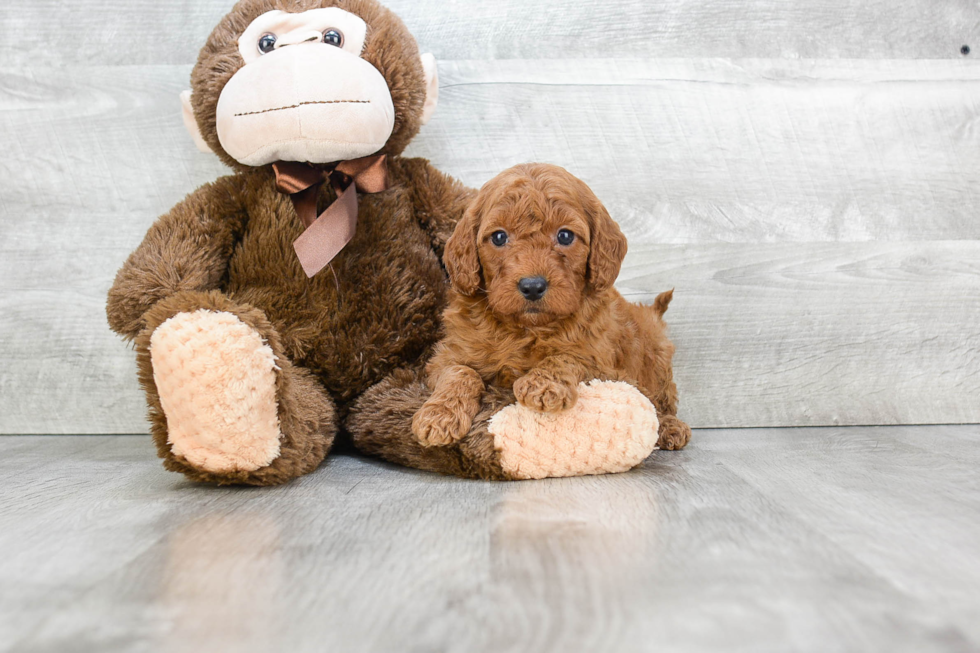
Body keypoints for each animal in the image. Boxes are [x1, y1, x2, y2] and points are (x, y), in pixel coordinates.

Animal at [412, 162, 688, 448]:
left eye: (565, 235)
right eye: (499, 237)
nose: (533, 286)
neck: (527, 329)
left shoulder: (603, 366)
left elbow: (567, 356)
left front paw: (542, 385)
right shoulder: (446, 355)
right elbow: (460, 371)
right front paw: (440, 415)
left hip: (656, 358)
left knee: (660, 399)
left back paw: (670, 426)